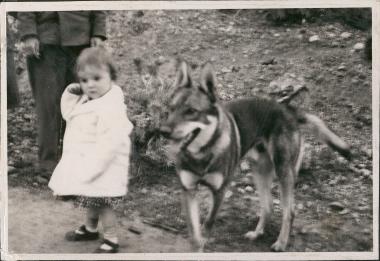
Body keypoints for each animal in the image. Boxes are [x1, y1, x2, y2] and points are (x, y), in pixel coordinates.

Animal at [159, 60, 352, 251]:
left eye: (191, 111)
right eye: (171, 108)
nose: (163, 131)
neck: (202, 153)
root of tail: (288, 109)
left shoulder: (219, 192)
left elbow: (207, 225)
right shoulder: (189, 190)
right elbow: (194, 232)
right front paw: (196, 245)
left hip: (284, 172)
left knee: (289, 212)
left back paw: (281, 243)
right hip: (259, 172)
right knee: (268, 207)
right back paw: (257, 233)